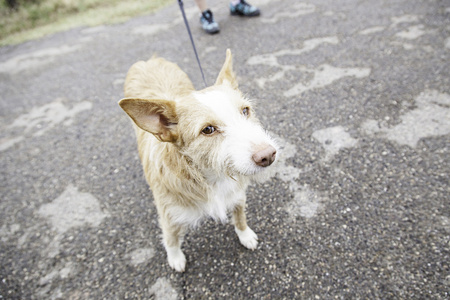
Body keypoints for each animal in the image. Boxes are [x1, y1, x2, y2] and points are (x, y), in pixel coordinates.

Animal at [118, 49, 276, 272]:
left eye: (245, 110)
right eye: (208, 130)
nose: (268, 155)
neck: (210, 175)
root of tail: (149, 60)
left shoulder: (237, 196)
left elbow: (240, 217)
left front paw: (245, 235)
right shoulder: (168, 216)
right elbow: (171, 239)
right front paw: (175, 258)